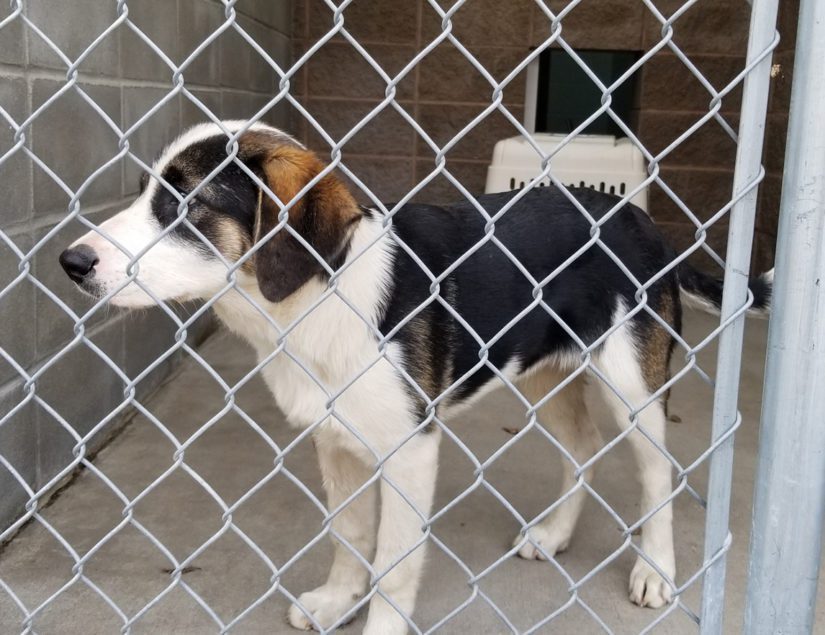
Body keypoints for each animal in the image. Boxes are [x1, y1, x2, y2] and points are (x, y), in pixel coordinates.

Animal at [59, 120, 772, 635]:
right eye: (146, 192)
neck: (317, 299)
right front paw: (338, 600)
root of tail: (643, 221)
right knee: (584, 448)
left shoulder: (409, 452)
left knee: (656, 473)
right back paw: (555, 535)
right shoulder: (337, 441)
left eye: (185, 203)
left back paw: (655, 571)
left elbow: (395, 565)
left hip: (632, 385)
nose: (71, 261)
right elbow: (351, 537)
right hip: (544, 372)